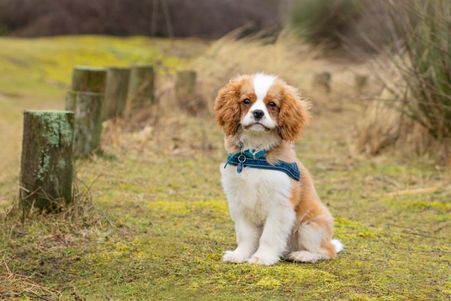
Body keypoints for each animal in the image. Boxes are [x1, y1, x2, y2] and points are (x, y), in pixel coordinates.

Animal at [215, 72, 342, 264]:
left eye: (272, 104)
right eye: (246, 101)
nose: (258, 113)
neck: (255, 153)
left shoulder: (280, 205)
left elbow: (269, 236)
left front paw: (262, 258)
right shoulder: (239, 202)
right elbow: (245, 235)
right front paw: (240, 255)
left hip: (309, 228)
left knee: (327, 251)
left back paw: (302, 255)